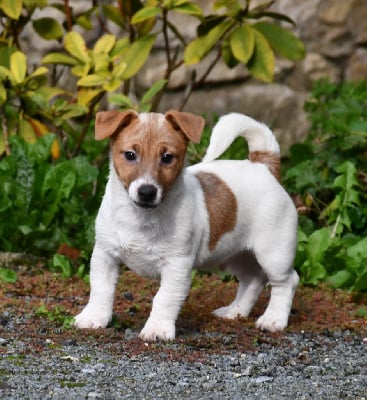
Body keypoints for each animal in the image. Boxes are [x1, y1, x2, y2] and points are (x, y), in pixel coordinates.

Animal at [74, 109, 300, 340]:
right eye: (130, 155)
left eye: (167, 157)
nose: (147, 192)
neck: (141, 217)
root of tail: (263, 166)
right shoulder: (105, 255)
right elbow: (101, 290)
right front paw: (94, 317)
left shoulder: (177, 265)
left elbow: (165, 298)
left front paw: (157, 329)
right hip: (235, 253)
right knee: (252, 279)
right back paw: (234, 312)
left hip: (273, 253)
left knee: (286, 281)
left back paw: (273, 319)